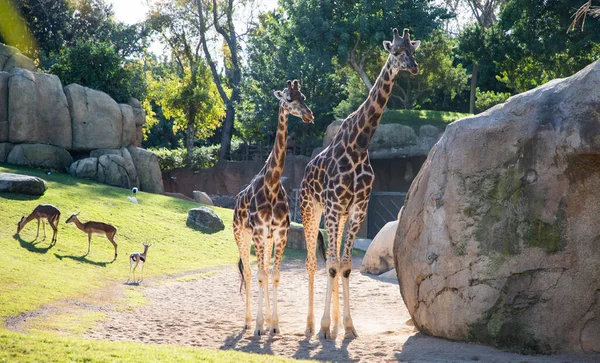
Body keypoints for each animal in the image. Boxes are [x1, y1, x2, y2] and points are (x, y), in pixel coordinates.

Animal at [232, 79, 314, 336]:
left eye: (304, 96)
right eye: (288, 98)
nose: (309, 115)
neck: (272, 183)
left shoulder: (280, 234)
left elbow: (274, 276)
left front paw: (274, 325)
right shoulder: (258, 233)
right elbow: (259, 275)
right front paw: (259, 326)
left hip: (266, 240)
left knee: (266, 272)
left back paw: (266, 321)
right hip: (241, 235)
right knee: (250, 273)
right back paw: (248, 322)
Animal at [300, 28, 422, 342]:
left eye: (413, 50)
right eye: (395, 51)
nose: (413, 67)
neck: (359, 145)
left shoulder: (357, 207)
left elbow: (344, 266)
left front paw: (347, 327)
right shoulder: (332, 206)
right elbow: (331, 265)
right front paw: (325, 328)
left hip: (339, 216)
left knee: (332, 261)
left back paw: (333, 324)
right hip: (311, 210)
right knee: (312, 262)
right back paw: (310, 326)